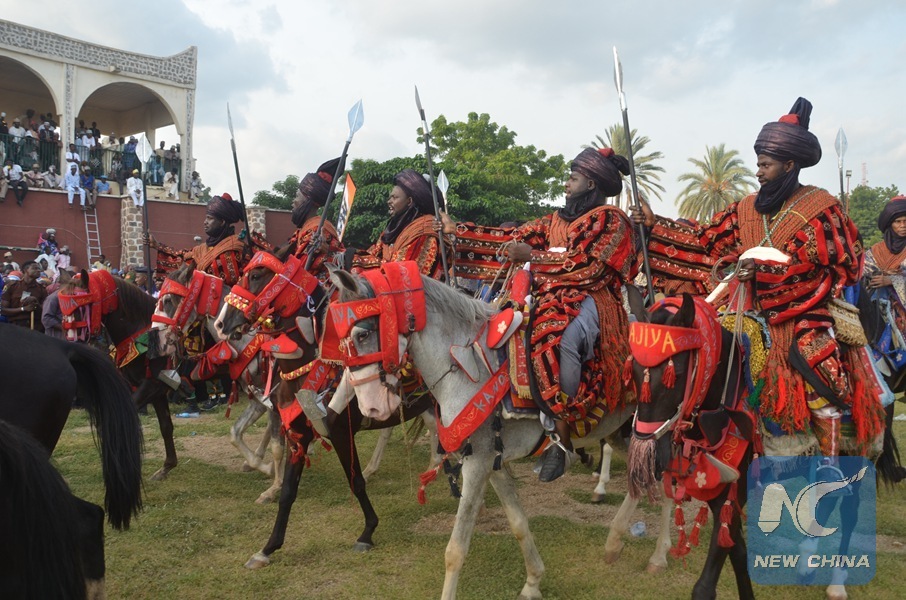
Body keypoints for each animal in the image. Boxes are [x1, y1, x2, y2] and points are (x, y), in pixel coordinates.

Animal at [330, 270, 672, 596]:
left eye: (362, 333)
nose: (371, 407)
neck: (465, 369)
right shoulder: (492, 461)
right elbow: (518, 522)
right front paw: (533, 582)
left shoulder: (477, 463)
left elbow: (456, 549)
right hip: (622, 431)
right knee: (648, 479)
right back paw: (622, 540)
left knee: (666, 481)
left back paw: (655, 555)